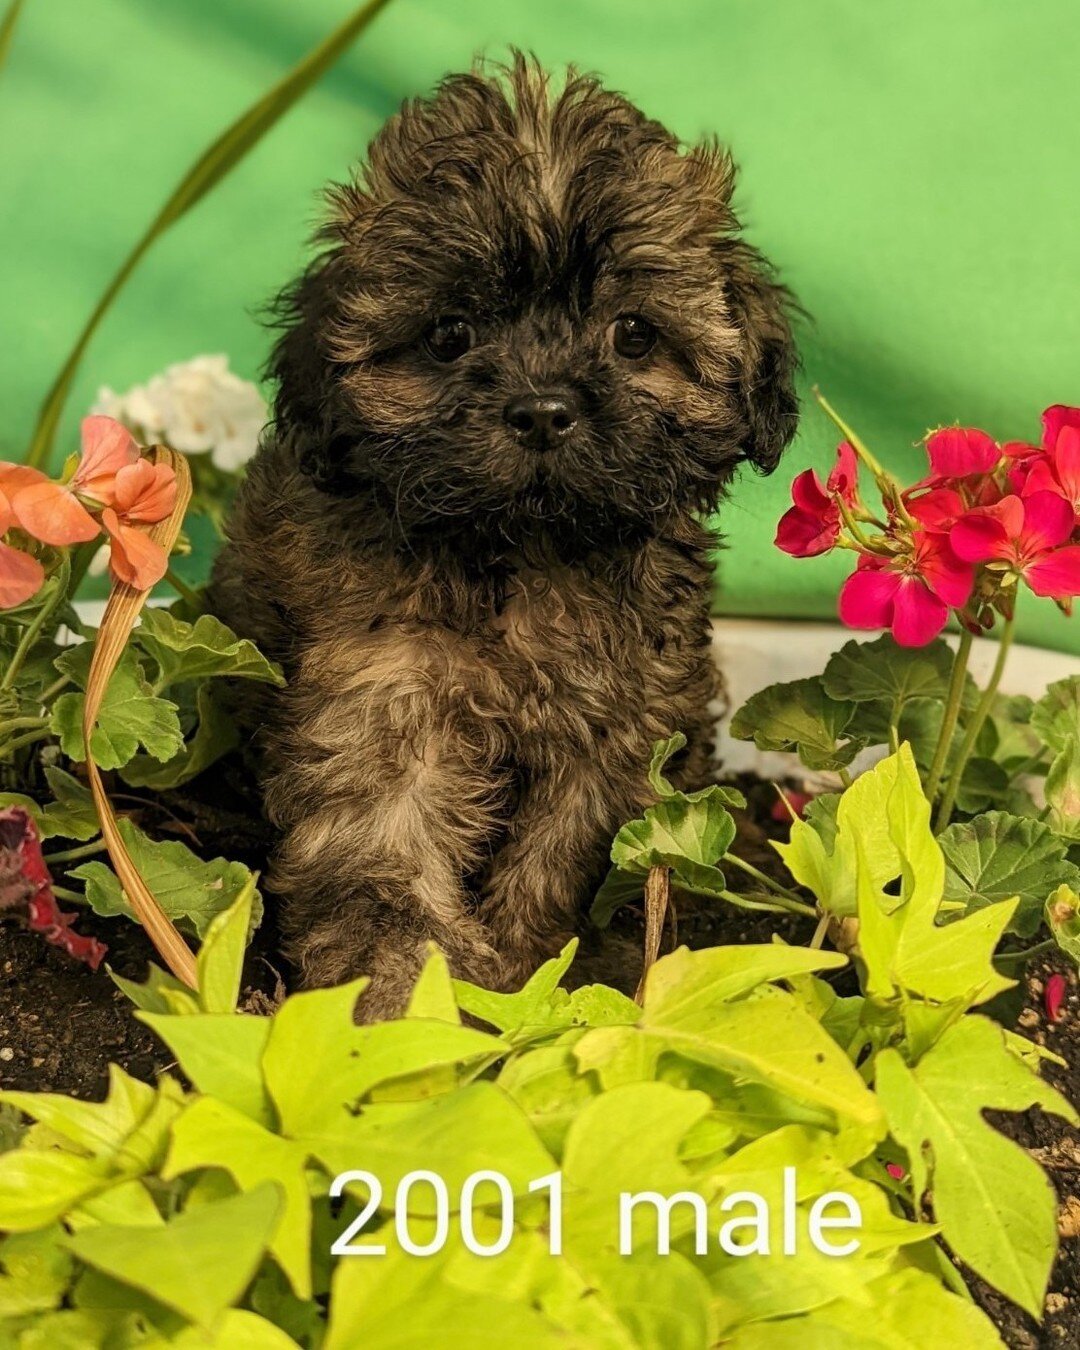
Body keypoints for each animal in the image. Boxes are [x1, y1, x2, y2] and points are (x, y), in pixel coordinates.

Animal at [210, 58, 799, 1015]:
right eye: (450, 334)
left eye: (633, 333)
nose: (542, 410)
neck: (524, 554)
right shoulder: (384, 695)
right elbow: (384, 845)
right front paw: (404, 987)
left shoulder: (622, 722)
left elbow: (565, 858)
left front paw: (532, 971)